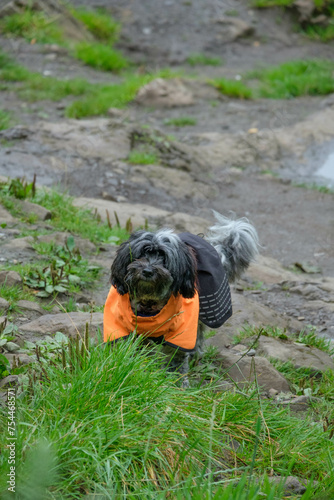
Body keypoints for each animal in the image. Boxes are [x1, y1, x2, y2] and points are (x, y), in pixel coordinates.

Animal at [103, 211, 260, 386]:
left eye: (164, 258)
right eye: (141, 254)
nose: (148, 271)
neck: (150, 304)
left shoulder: (182, 332)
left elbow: (176, 358)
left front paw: (175, 381)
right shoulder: (125, 327)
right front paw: (137, 365)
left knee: (198, 338)